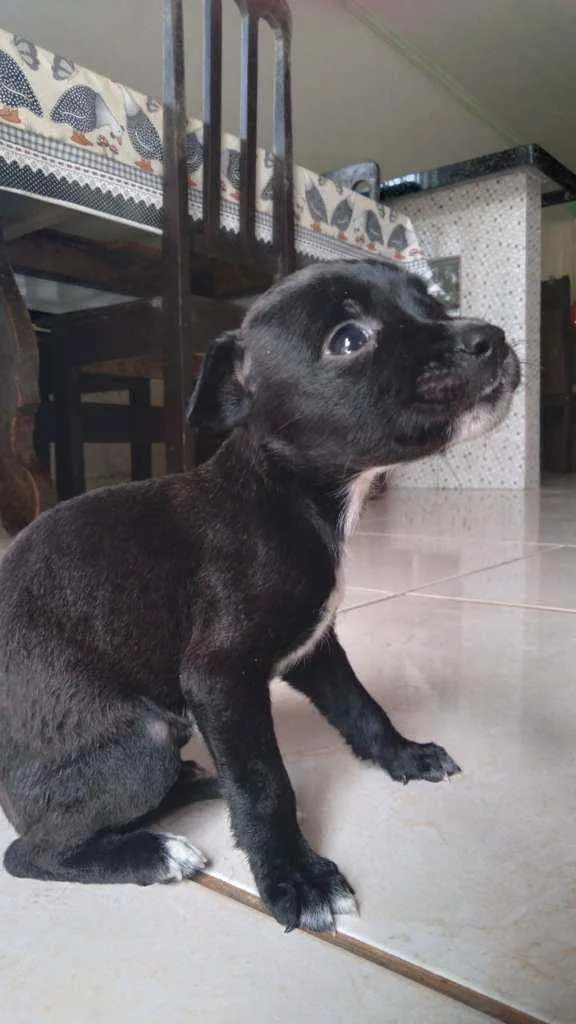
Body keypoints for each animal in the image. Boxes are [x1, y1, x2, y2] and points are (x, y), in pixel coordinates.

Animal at [0, 260, 520, 933]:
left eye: (432, 302)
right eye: (349, 339)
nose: (490, 337)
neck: (290, 496)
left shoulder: (314, 647)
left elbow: (361, 707)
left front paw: (404, 756)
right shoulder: (221, 678)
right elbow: (265, 782)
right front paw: (295, 877)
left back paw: (198, 782)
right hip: (143, 740)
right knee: (30, 852)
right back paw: (154, 853)